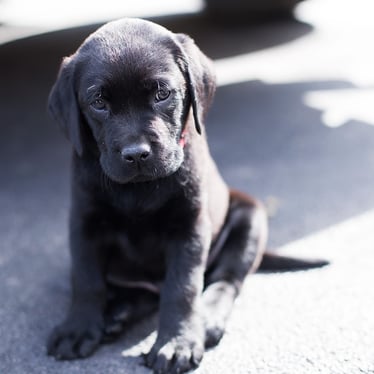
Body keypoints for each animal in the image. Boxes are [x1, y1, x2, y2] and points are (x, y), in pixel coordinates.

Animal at [46, 18, 268, 374]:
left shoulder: (189, 226)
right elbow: (86, 278)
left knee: (225, 280)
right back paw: (116, 314)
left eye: (162, 94)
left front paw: (177, 343)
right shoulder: (84, 221)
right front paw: (77, 329)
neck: (139, 189)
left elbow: (183, 287)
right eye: (98, 103)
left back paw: (206, 320)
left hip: (250, 217)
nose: (136, 154)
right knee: (141, 292)